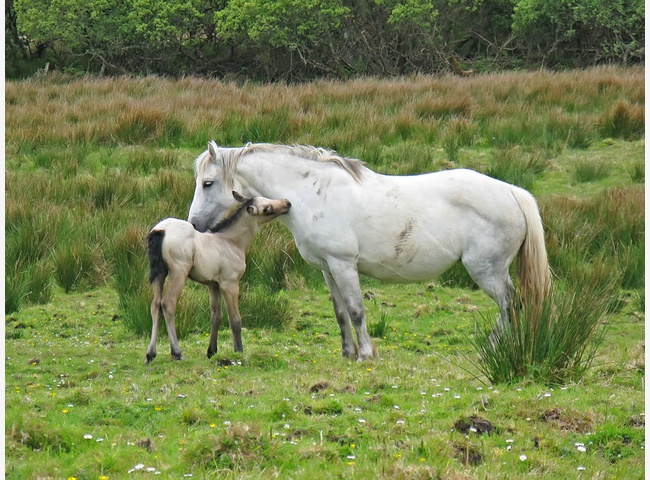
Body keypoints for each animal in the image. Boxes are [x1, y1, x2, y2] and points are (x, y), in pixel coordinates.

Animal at [147, 191, 292, 364]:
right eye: (267, 209)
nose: (287, 203)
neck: (231, 241)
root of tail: (160, 230)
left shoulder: (213, 285)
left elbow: (216, 316)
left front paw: (211, 351)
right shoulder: (230, 284)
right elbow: (235, 319)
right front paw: (239, 351)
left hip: (159, 273)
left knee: (155, 304)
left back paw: (150, 354)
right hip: (178, 272)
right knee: (167, 303)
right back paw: (176, 352)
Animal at [187, 142, 548, 360]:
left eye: (207, 183)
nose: (194, 225)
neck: (313, 193)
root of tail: (512, 192)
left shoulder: (344, 264)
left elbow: (357, 310)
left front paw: (365, 354)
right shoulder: (327, 268)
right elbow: (340, 312)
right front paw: (347, 352)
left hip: (487, 271)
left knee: (509, 304)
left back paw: (492, 348)